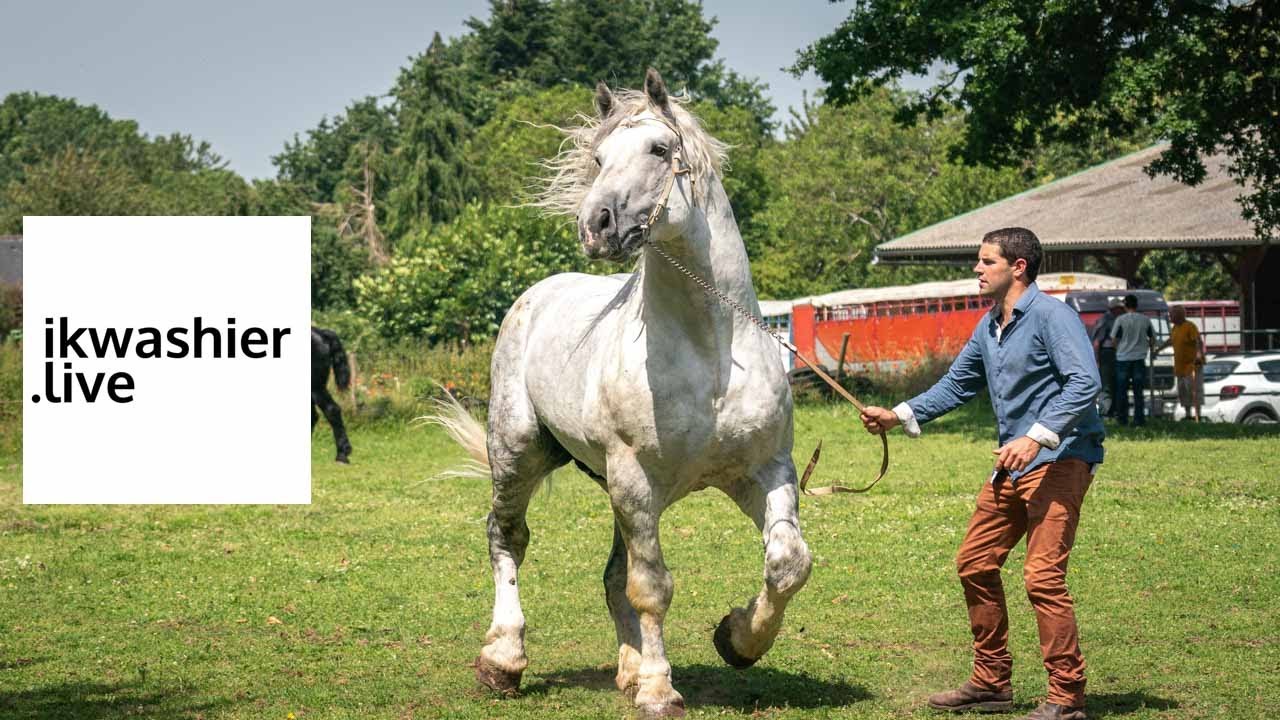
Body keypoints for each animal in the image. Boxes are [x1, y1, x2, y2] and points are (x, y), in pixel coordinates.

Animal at [432, 69, 811, 718]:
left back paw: (628, 671)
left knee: (612, 574)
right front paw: (660, 689)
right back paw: (503, 659)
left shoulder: (763, 472)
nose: (596, 224)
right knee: (507, 537)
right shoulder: (636, 480)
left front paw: (738, 639)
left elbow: (788, 562)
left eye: (659, 149)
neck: (711, 352)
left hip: (616, 487)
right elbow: (651, 586)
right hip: (521, 454)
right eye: (599, 157)